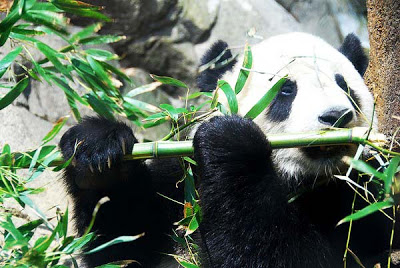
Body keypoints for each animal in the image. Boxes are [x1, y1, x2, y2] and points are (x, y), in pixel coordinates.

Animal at [59, 32, 396, 266]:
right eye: (286, 90)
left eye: (346, 88)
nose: (336, 116)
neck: (300, 180)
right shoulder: (181, 187)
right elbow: (125, 245)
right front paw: (97, 154)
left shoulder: (367, 199)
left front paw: (231, 143)